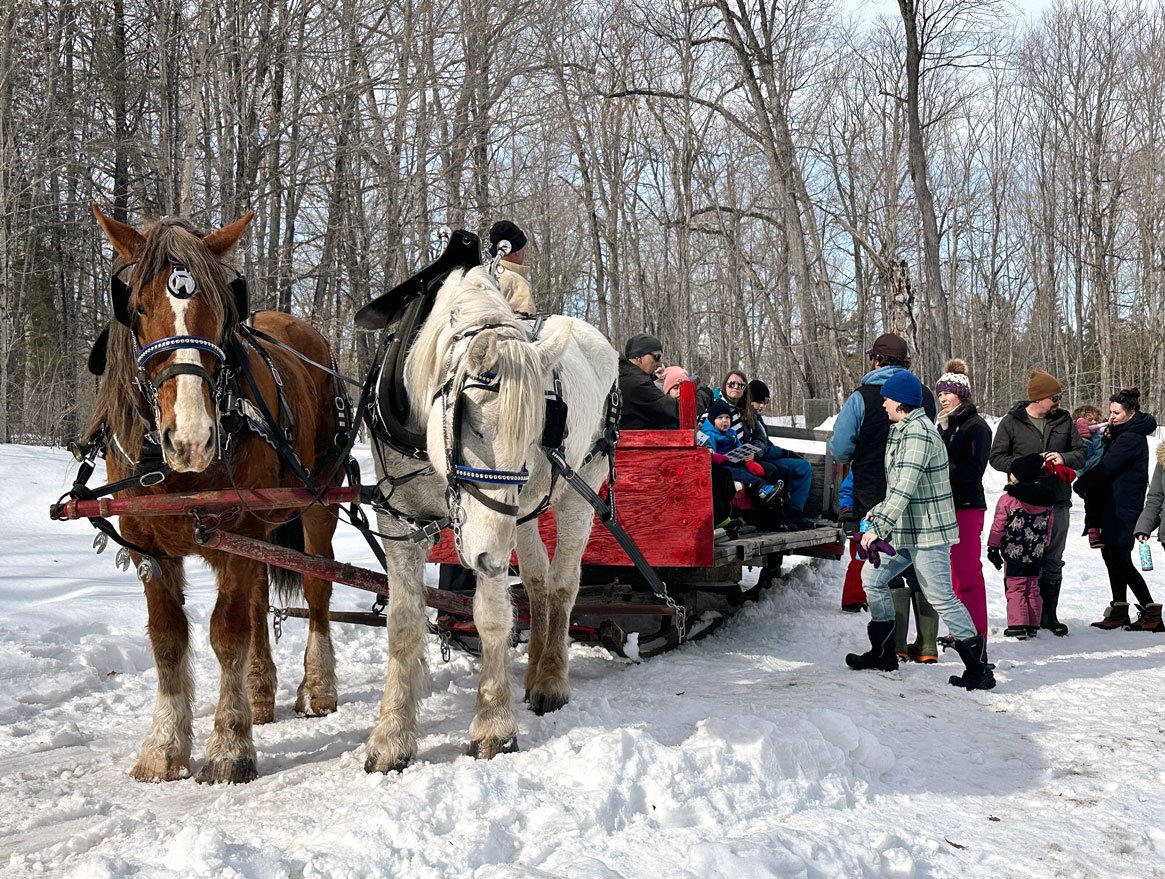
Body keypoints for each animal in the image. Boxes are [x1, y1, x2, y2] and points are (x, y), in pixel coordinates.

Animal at [89, 205, 344, 783]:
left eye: (222, 309)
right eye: (137, 307)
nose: (191, 439)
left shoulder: (239, 528)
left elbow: (226, 633)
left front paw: (230, 746)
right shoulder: (147, 544)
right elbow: (168, 639)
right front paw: (164, 747)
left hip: (318, 502)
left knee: (317, 589)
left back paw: (317, 687)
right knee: (257, 602)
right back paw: (261, 693)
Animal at [363, 263, 618, 770]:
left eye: (538, 431)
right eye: (473, 425)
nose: (486, 556)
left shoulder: (492, 532)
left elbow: (494, 617)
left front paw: (493, 725)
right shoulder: (400, 521)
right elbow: (403, 625)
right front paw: (392, 736)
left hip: (581, 488)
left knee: (562, 583)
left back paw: (550, 678)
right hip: (522, 516)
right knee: (537, 582)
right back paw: (535, 664)